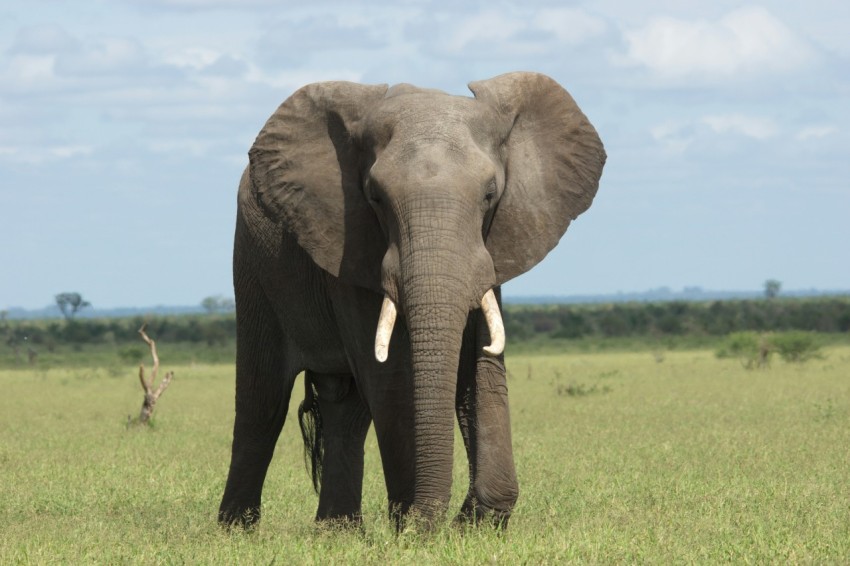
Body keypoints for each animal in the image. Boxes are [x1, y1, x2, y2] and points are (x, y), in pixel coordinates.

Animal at [217, 71, 605, 531]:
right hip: (253, 264)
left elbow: (483, 366)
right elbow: (390, 378)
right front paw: (415, 527)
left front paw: (474, 522)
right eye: (375, 197)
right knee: (263, 403)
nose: (448, 517)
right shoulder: (349, 245)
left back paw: (336, 533)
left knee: (345, 407)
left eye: (490, 194)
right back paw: (236, 531)